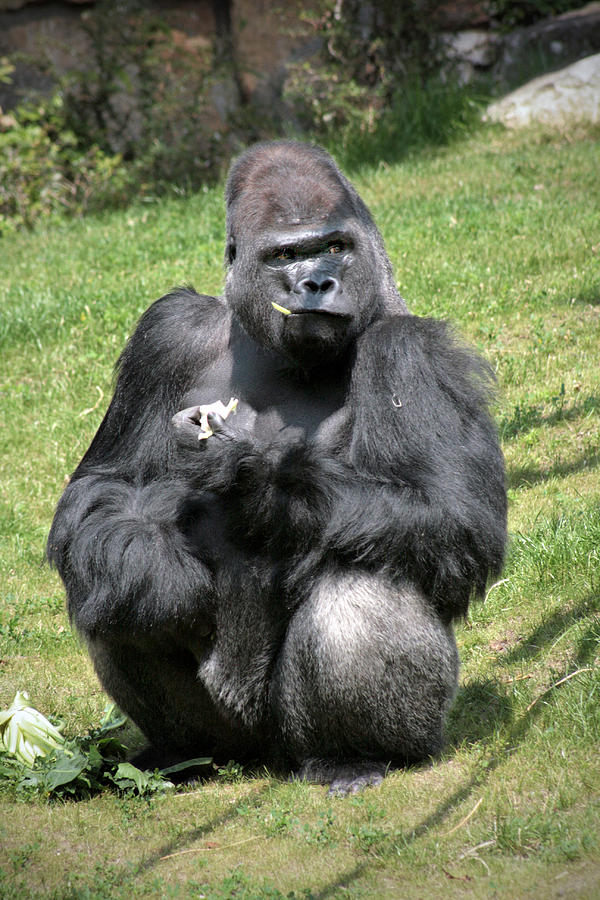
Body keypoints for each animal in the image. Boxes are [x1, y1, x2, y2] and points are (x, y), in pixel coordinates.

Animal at [48, 141, 506, 796]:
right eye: (286, 255)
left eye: (334, 246)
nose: (318, 281)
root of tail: (263, 760)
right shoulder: (167, 330)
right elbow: (104, 488)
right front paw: (152, 566)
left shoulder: (414, 352)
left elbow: (455, 518)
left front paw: (252, 472)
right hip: (229, 738)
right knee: (105, 581)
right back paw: (180, 751)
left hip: (320, 734)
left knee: (365, 575)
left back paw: (352, 755)